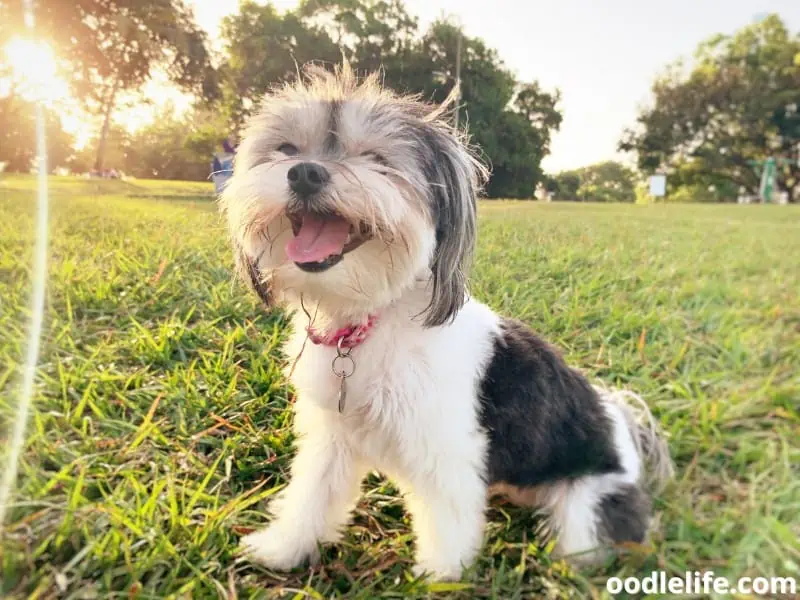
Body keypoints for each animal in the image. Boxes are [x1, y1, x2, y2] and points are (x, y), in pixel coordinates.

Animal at [217, 63, 668, 580]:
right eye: (288, 149)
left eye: (375, 158)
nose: (305, 172)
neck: (371, 320)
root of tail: (623, 426)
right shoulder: (332, 436)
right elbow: (313, 492)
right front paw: (283, 547)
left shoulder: (447, 450)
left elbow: (448, 518)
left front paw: (440, 576)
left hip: (586, 506)